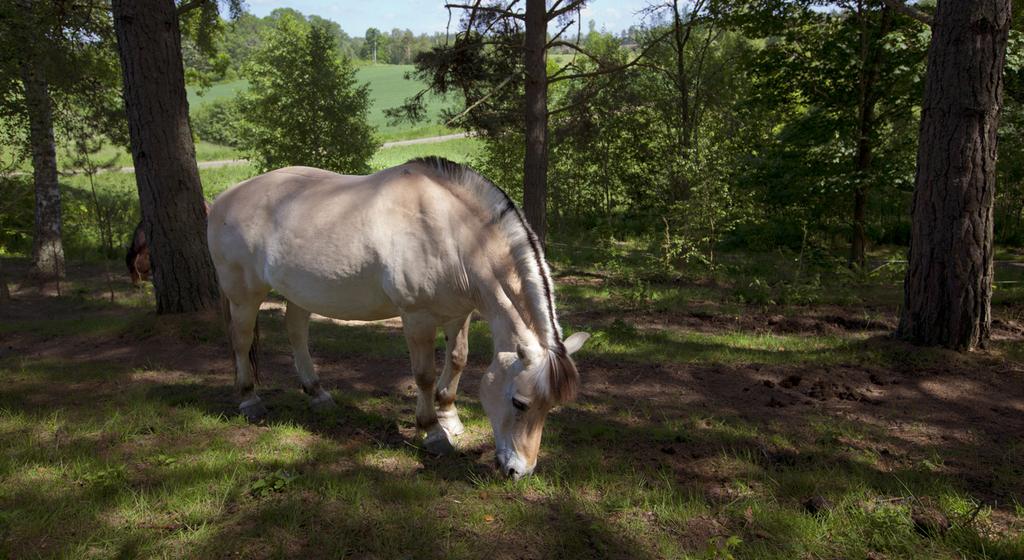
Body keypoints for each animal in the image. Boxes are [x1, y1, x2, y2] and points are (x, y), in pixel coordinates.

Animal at [206, 157, 589, 477]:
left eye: (551, 407)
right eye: (519, 403)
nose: (518, 471)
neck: (451, 234)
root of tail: (224, 198)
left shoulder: (459, 314)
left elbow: (458, 360)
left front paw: (451, 419)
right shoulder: (417, 317)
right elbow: (424, 375)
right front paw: (433, 433)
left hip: (300, 292)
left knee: (296, 332)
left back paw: (317, 394)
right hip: (244, 294)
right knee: (241, 340)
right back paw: (249, 400)